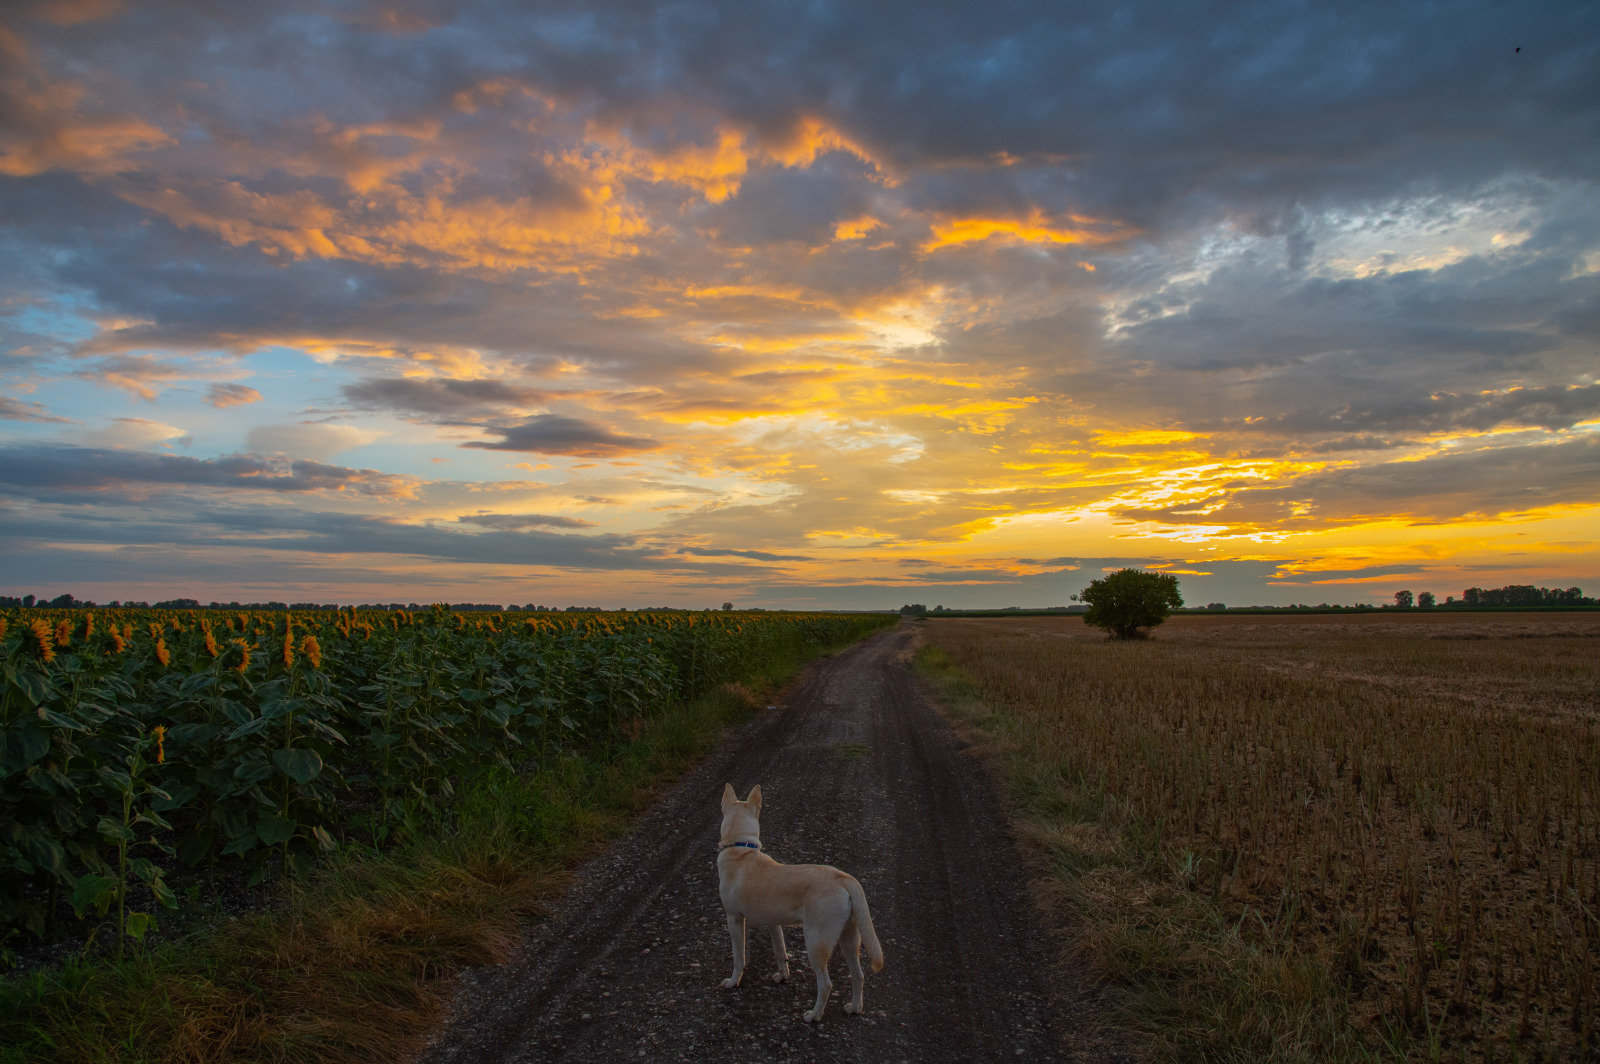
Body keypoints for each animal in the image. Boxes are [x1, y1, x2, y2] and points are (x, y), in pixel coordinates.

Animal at [716, 780, 883, 1024]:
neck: (741, 848)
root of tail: (844, 878)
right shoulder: (773, 924)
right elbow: (780, 952)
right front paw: (782, 977)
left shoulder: (734, 919)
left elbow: (739, 956)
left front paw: (732, 982)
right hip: (850, 938)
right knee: (858, 975)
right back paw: (854, 1007)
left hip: (815, 942)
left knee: (826, 984)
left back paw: (814, 1015)